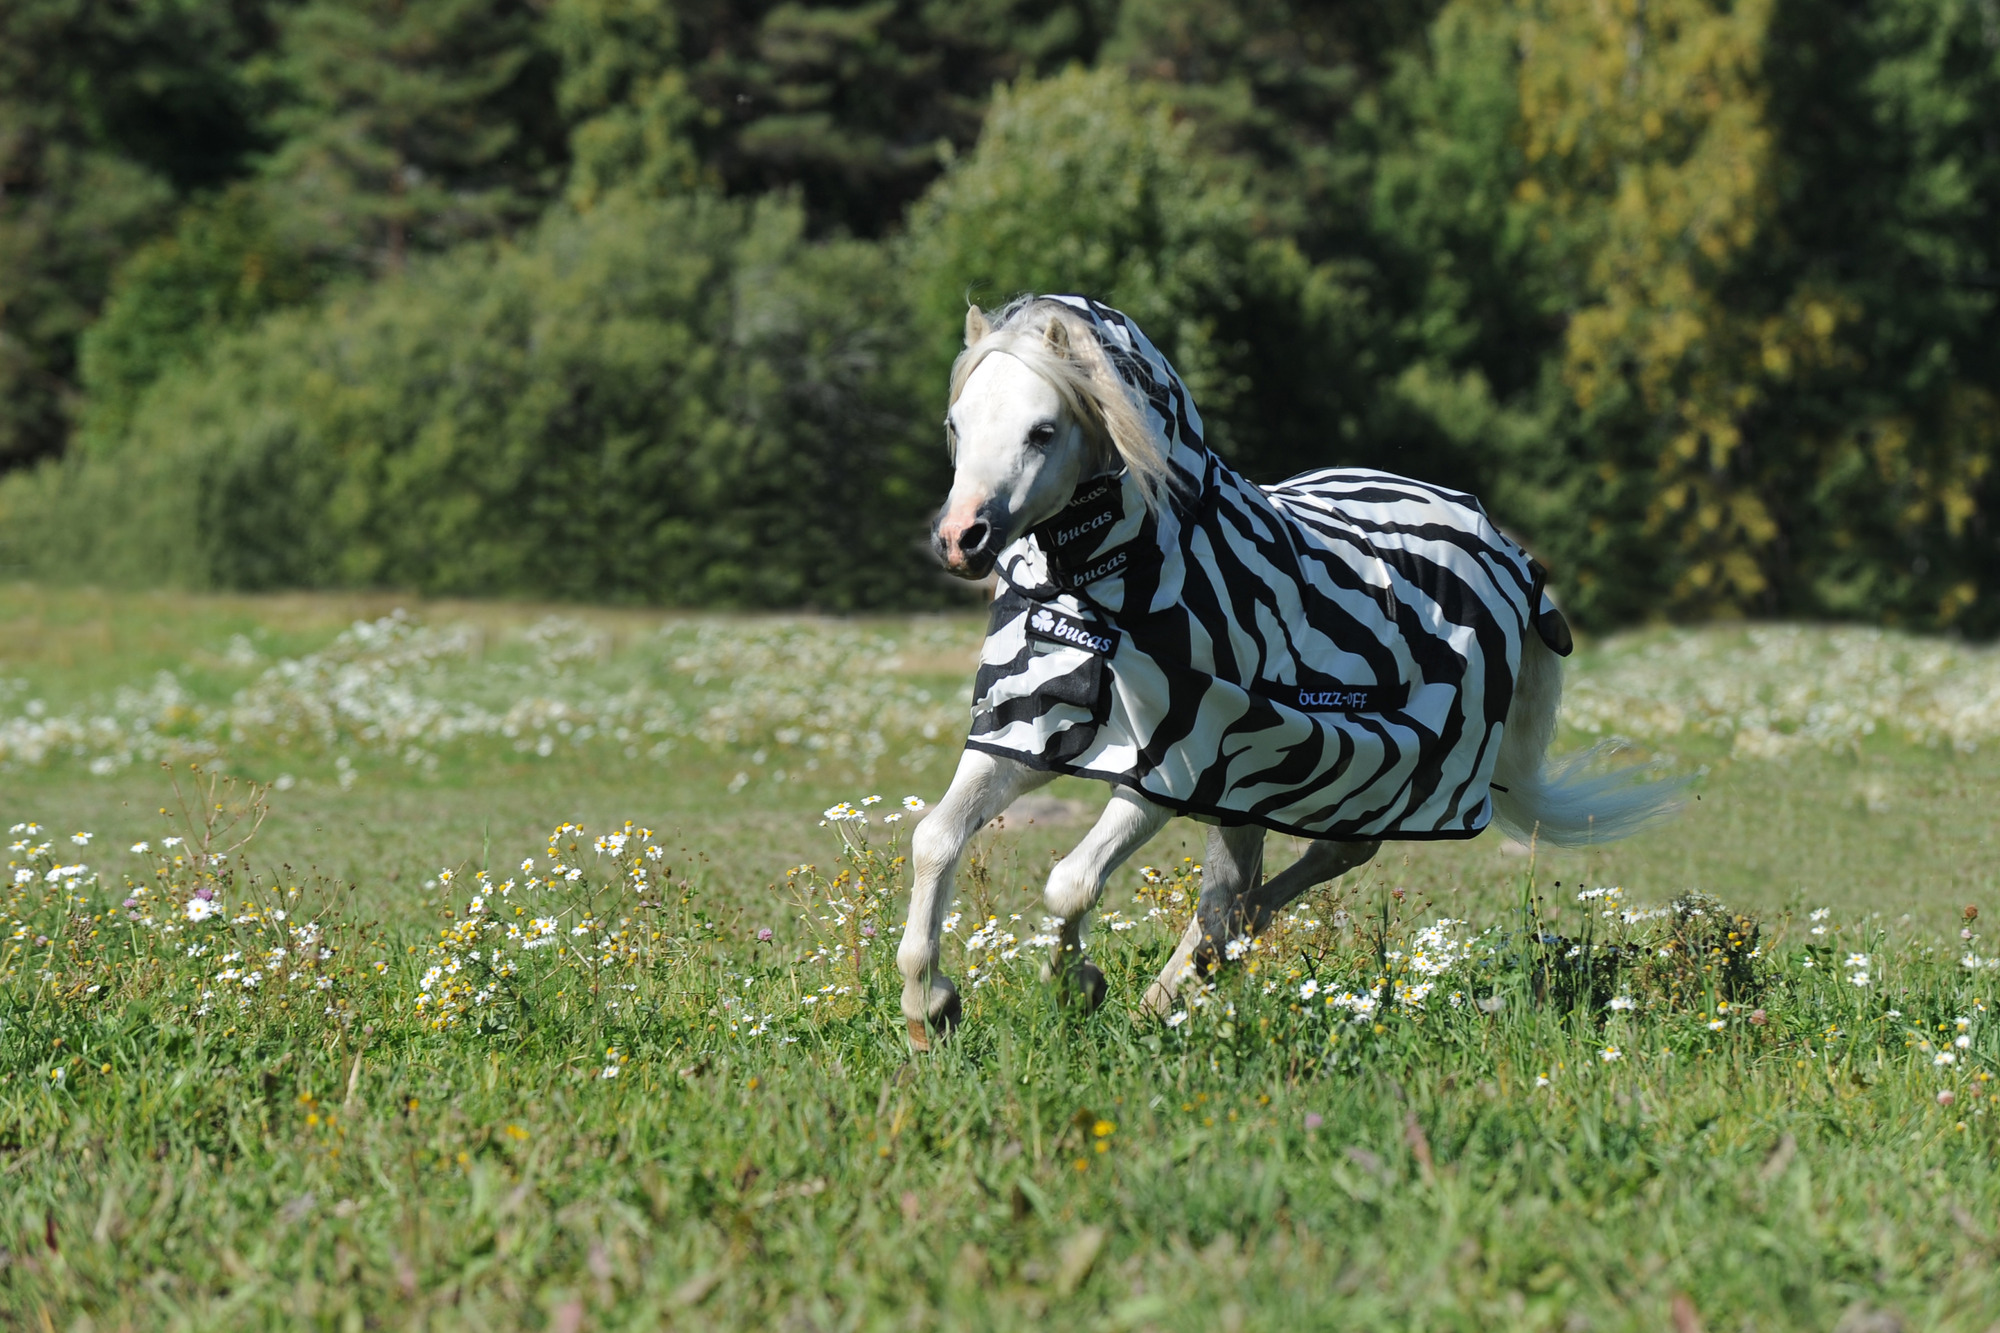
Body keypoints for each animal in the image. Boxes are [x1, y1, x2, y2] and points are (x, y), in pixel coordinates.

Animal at [895, 295, 1679, 1049]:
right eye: (957, 424)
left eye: (1043, 431)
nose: (960, 539)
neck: (1108, 586)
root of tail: (1507, 551)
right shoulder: (1023, 727)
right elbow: (934, 839)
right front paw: (929, 1006)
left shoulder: (1172, 760)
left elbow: (1071, 882)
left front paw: (1074, 985)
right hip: (1258, 777)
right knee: (1237, 892)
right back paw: (1177, 987)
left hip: (1357, 766)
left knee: (1307, 866)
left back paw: (1180, 980)